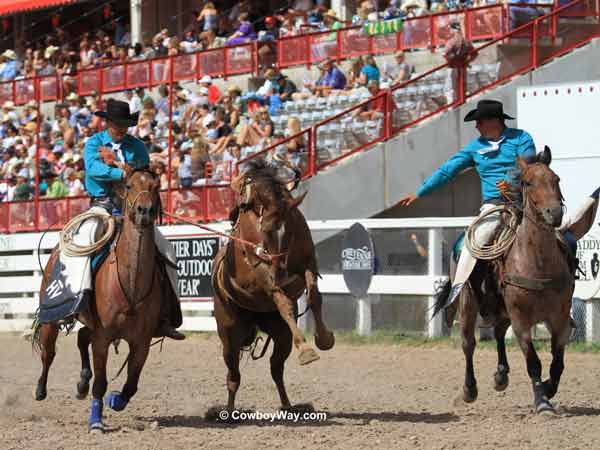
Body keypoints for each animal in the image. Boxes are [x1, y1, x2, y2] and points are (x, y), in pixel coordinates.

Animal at [32, 168, 164, 432]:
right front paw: (96, 422)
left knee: (82, 338)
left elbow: (131, 384)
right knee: (48, 353)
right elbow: (101, 383)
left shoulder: (142, 343)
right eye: (129, 185)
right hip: (51, 320)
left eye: (156, 186)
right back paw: (41, 390)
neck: (131, 283)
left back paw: (82, 383)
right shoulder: (103, 338)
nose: (144, 211)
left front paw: (116, 400)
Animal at [210, 160, 332, 414]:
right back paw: (228, 412)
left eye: (291, 227)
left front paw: (323, 339)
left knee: (276, 369)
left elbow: (314, 297)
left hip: (281, 334)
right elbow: (284, 303)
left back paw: (288, 405)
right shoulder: (262, 271)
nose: (281, 273)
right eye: (265, 230)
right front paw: (307, 350)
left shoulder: (308, 262)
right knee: (233, 375)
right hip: (229, 335)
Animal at [438, 148, 576, 414]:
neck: (538, 262)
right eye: (528, 182)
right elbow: (533, 362)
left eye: (556, 179)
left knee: (499, 331)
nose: (554, 213)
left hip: (501, 308)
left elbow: (558, 362)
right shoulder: (521, 319)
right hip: (468, 302)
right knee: (468, 343)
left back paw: (501, 375)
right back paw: (469, 390)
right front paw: (542, 402)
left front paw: (548, 388)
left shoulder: (560, 318)